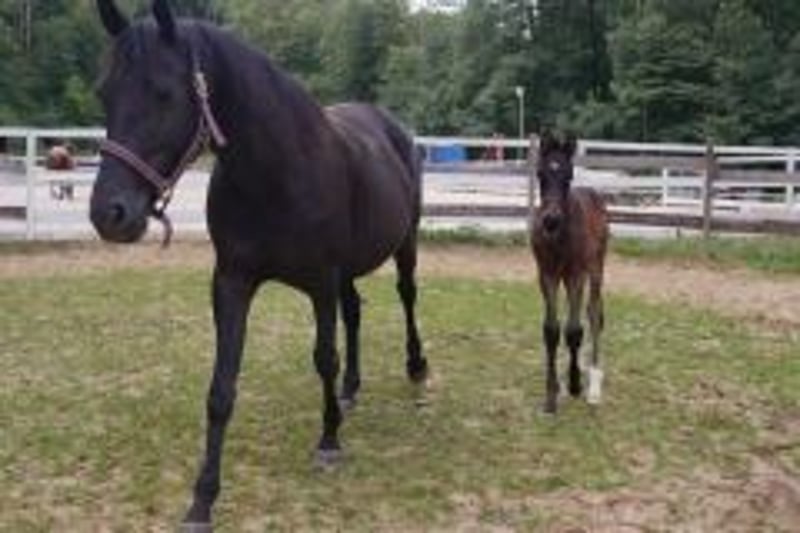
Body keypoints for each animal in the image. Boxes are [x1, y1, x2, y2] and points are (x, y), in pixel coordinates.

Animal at [90, 0, 428, 528]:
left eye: (164, 93)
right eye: (104, 93)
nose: (109, 214)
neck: (276, 171)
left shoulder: (320, 282)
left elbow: (323, 357)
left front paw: (329, 441)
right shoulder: (232, 282)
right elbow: (220, 389)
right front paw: (202, 500)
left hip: (404, 243)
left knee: (407, 296)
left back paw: (415, 368)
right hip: (347, 271)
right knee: (355, 312)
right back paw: (351, 389)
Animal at [530, 132, 608, 415]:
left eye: (569, 175)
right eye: (540, 174)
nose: (550, 220)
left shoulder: (576, 274)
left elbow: (574, 330)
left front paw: (575, 385)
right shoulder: (546, 275)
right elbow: (552, 330)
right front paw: (551, 396)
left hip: (595, 269)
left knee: (594, 314)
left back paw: (594, 383)